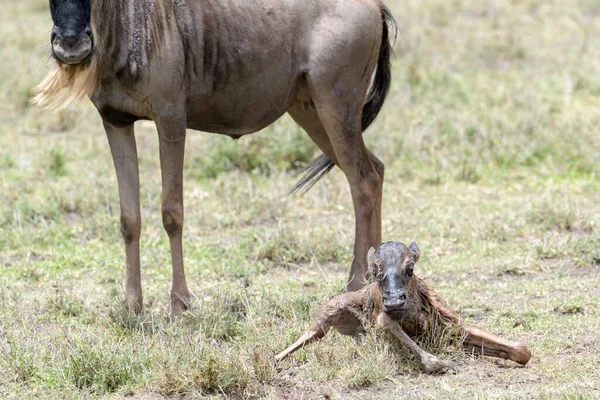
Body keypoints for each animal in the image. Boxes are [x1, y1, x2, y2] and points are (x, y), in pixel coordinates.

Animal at [274, 239, 532, 374]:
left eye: (410, 268)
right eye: (375, 271)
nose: (395, 301)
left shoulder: (452, 326)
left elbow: (522, 350)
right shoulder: (384, 319)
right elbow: (390, 325)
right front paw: (443, 363)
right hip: (332, 311)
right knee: (312, 333)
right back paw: (277, 361)